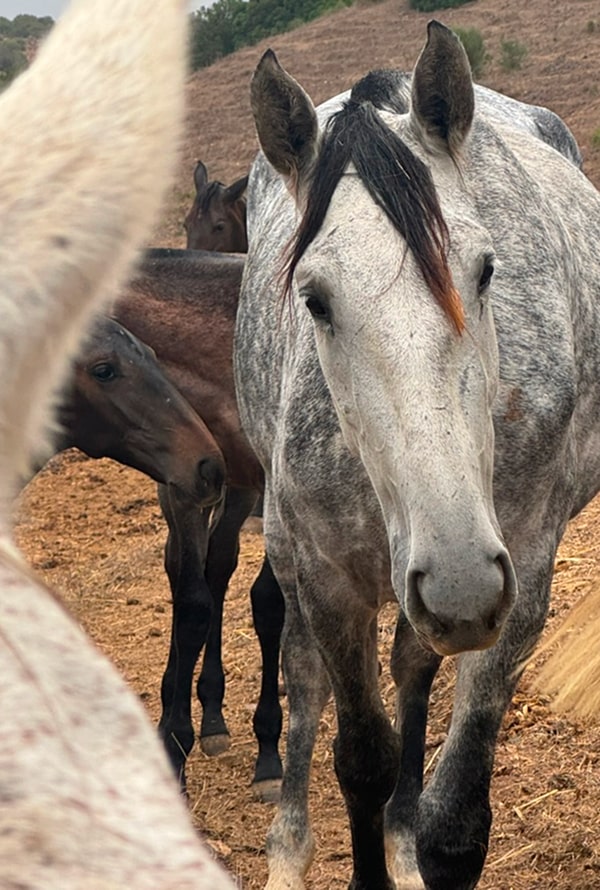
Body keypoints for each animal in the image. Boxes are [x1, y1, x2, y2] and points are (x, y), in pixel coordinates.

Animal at [235, 21, 600, 890]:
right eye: (314, 299)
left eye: (488, 269)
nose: (462, 584)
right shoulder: (328, 578)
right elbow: (361, 758)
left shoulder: (521, 573)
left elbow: (455, 825)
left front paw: (412, 844)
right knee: (302, 683)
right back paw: (288, 846)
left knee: (410, 675)